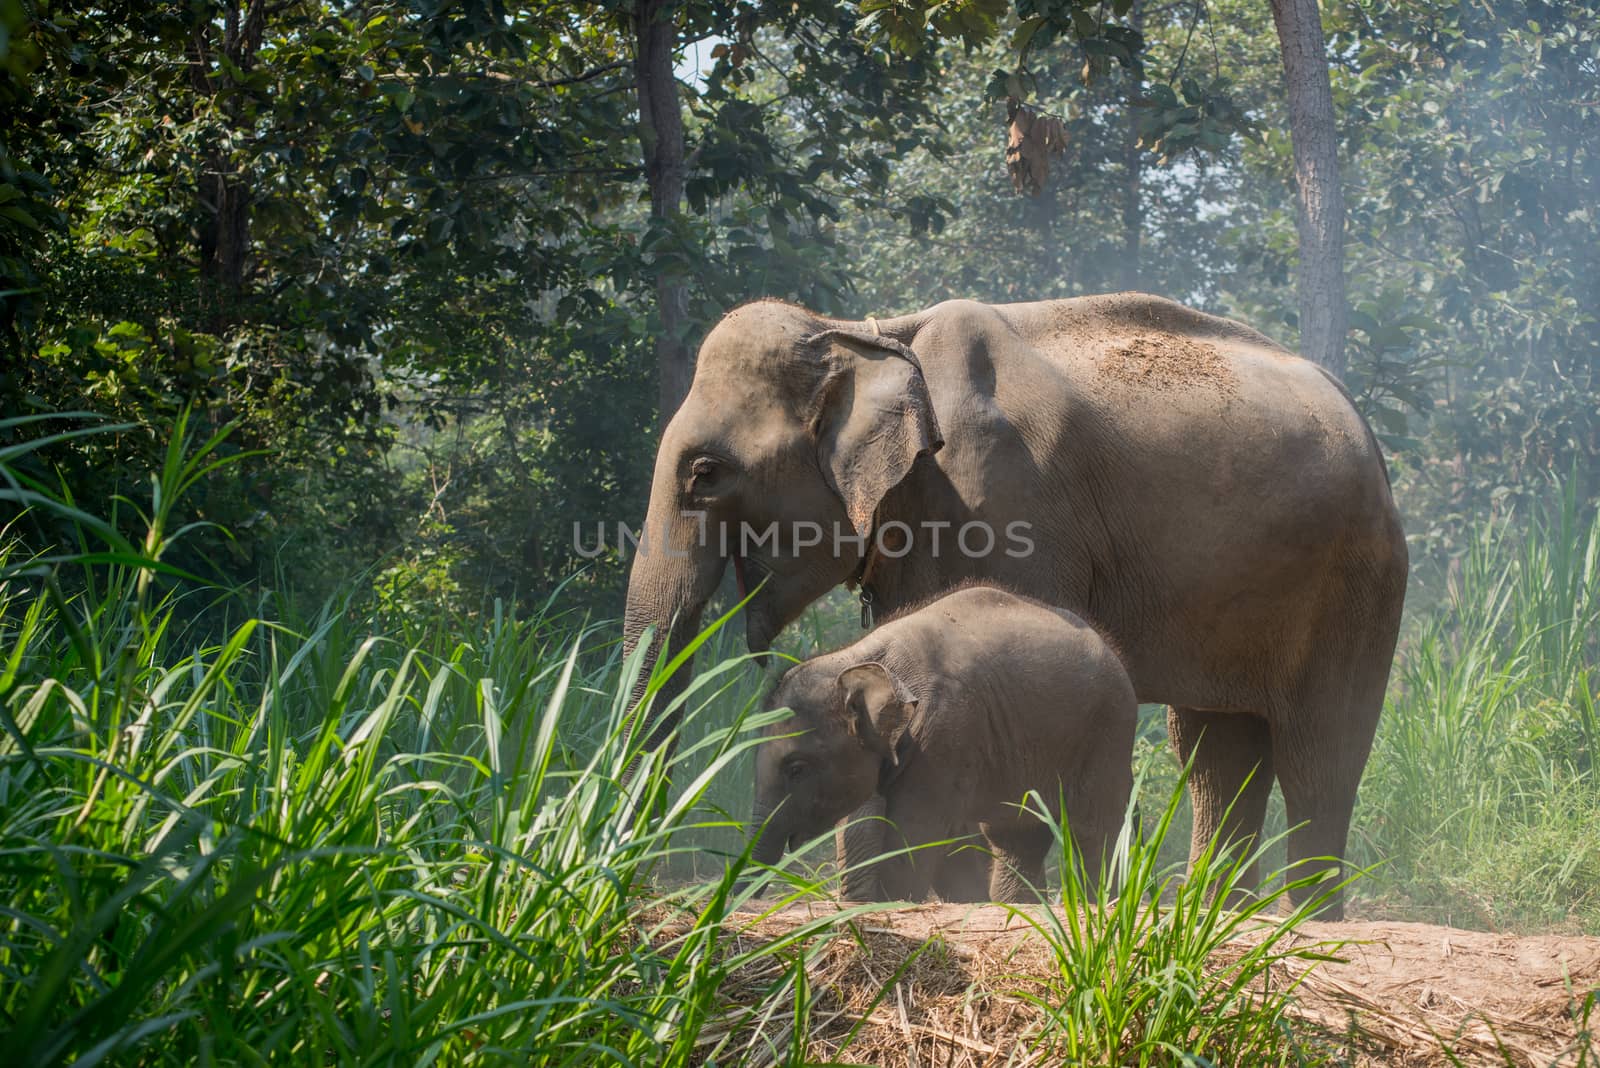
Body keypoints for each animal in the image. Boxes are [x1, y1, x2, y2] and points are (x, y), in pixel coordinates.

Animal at [748, 585, 1139, 901]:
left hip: (1109, 731)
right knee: (1016, 836)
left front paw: (893, 902)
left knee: (1091, 829)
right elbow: (876, 824)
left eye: (796, 768)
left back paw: (1096, 905)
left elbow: (914, 833)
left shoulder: (943, 734)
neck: (861, 658)